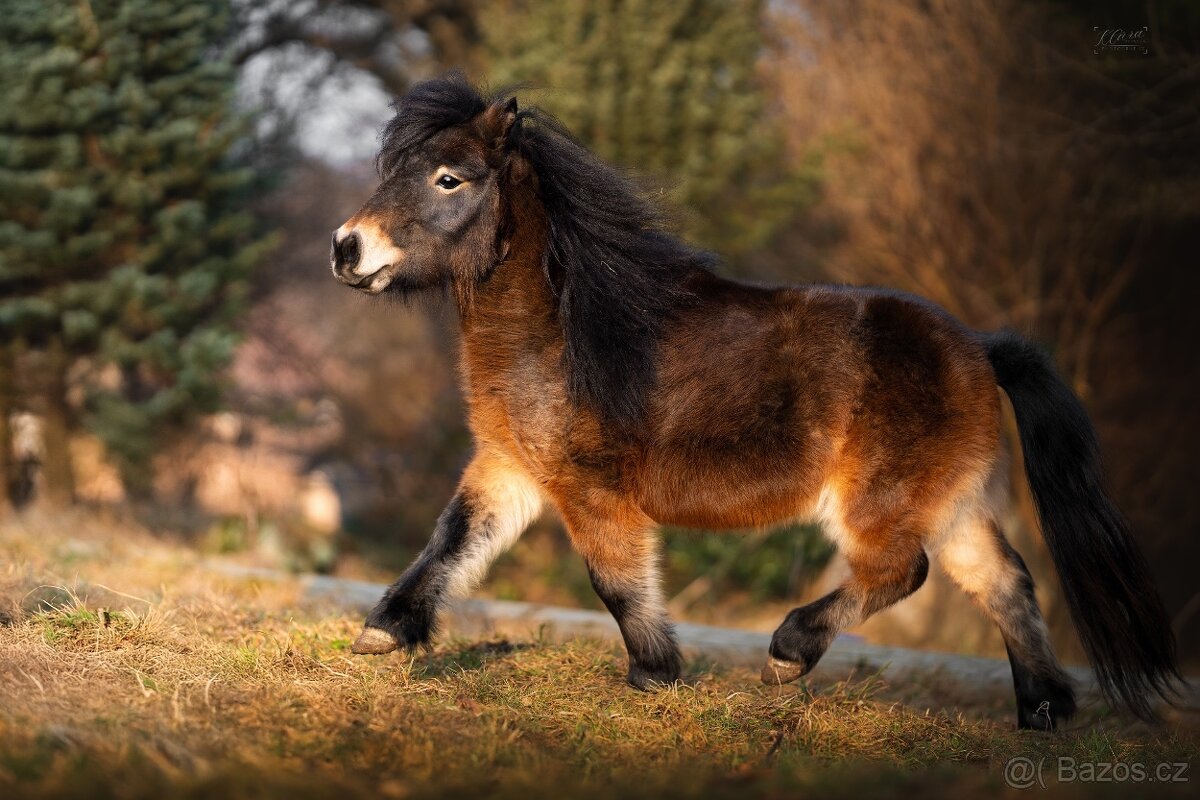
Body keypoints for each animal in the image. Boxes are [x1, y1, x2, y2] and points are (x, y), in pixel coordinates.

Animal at [329, 74, 1181, 730]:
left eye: (450, 178)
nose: (346, 248)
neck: (566, 328)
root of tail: (977, 345)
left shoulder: (589, 488)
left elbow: (615, 580)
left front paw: (655, 672)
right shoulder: (510, 468)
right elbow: (451, 543)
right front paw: (384, 632)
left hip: (881, 500)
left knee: (902, 572)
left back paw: (788, 654)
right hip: (949, 499)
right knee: (1004, 582)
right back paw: (1042, 711)